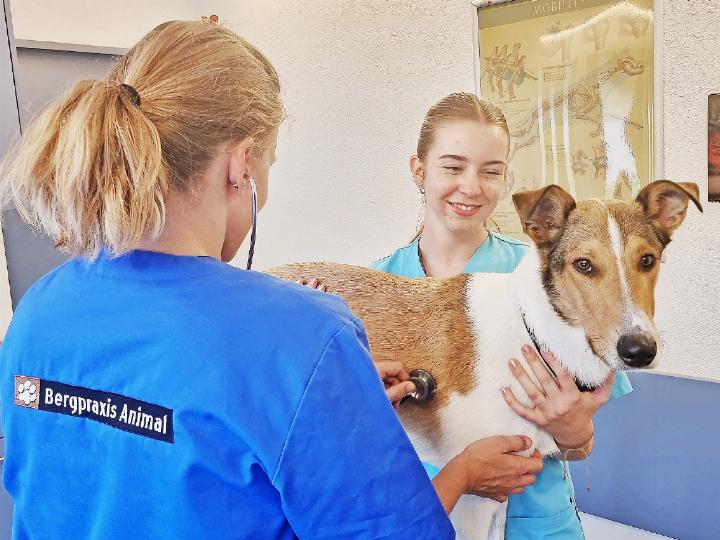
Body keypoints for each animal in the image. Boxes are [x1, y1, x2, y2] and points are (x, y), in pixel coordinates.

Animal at [268, 179, 700, 536]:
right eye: (583, 265)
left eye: (647, 260)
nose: (639, 350)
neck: (535, 331)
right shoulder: (476, 494)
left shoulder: (503, 486)